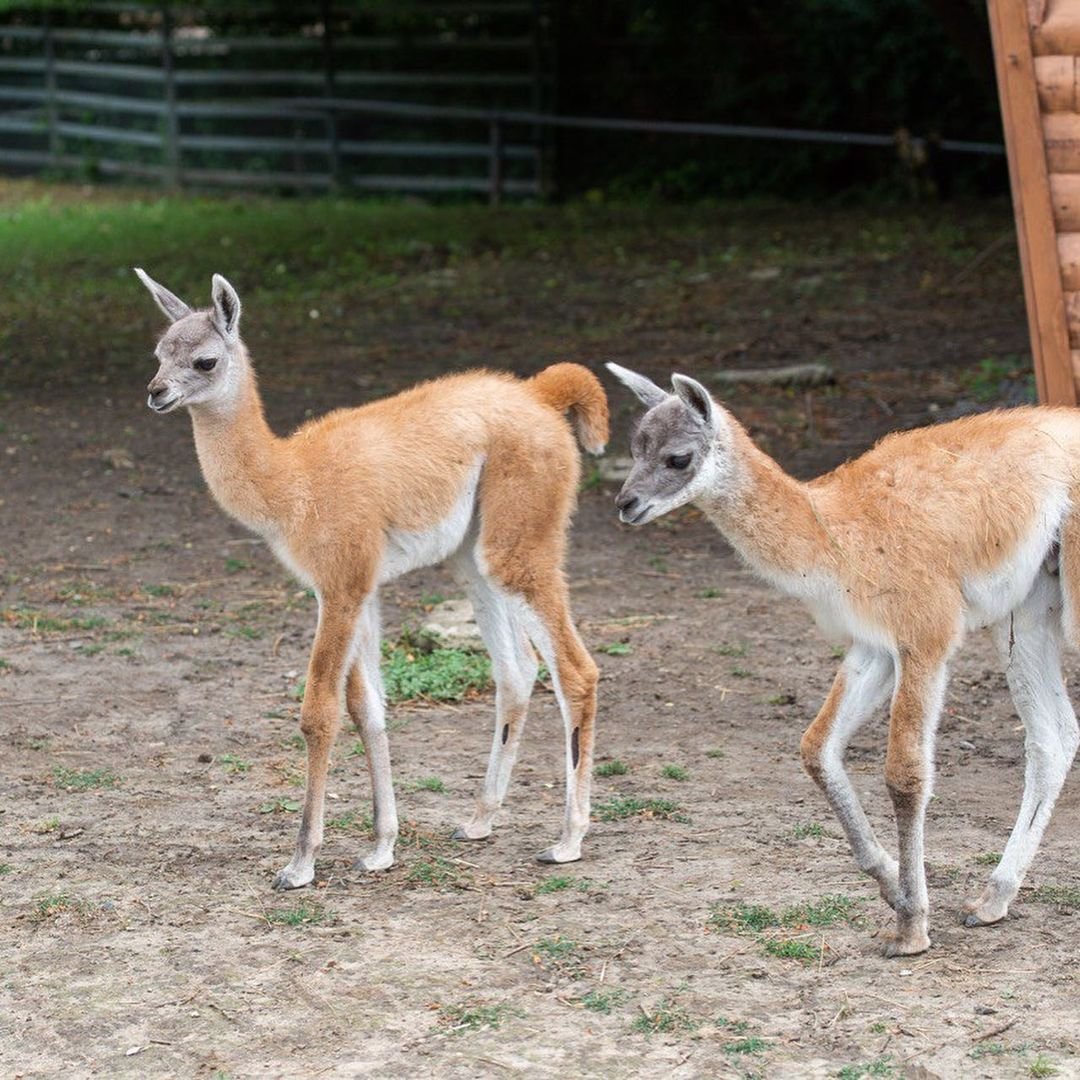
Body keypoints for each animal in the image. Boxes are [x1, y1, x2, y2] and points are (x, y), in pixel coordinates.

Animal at [136, 267, 609, 885]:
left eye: (205, 361)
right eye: (159, 353)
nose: (156, 392)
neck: (293, 481)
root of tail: (539, 393)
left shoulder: (344, 582)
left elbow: (319, 712)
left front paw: (300, 863)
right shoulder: (353, 589)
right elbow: (369, 711)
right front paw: (382, 847)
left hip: (521, 539)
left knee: (575, 670)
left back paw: (568, 839)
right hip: (472, 555)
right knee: (517, 672)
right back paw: (480, 819)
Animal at [609, 362, 1080, 954]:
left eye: (677, 457)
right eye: (634, 448)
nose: (625, 505)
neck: (836, 532)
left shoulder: (925, 632)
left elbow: (904, 774)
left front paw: (911, 928)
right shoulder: (873, 645)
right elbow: (816, 747)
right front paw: (891, 884)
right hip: (1028, 608)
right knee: (1053, 738)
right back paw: (993, 898)